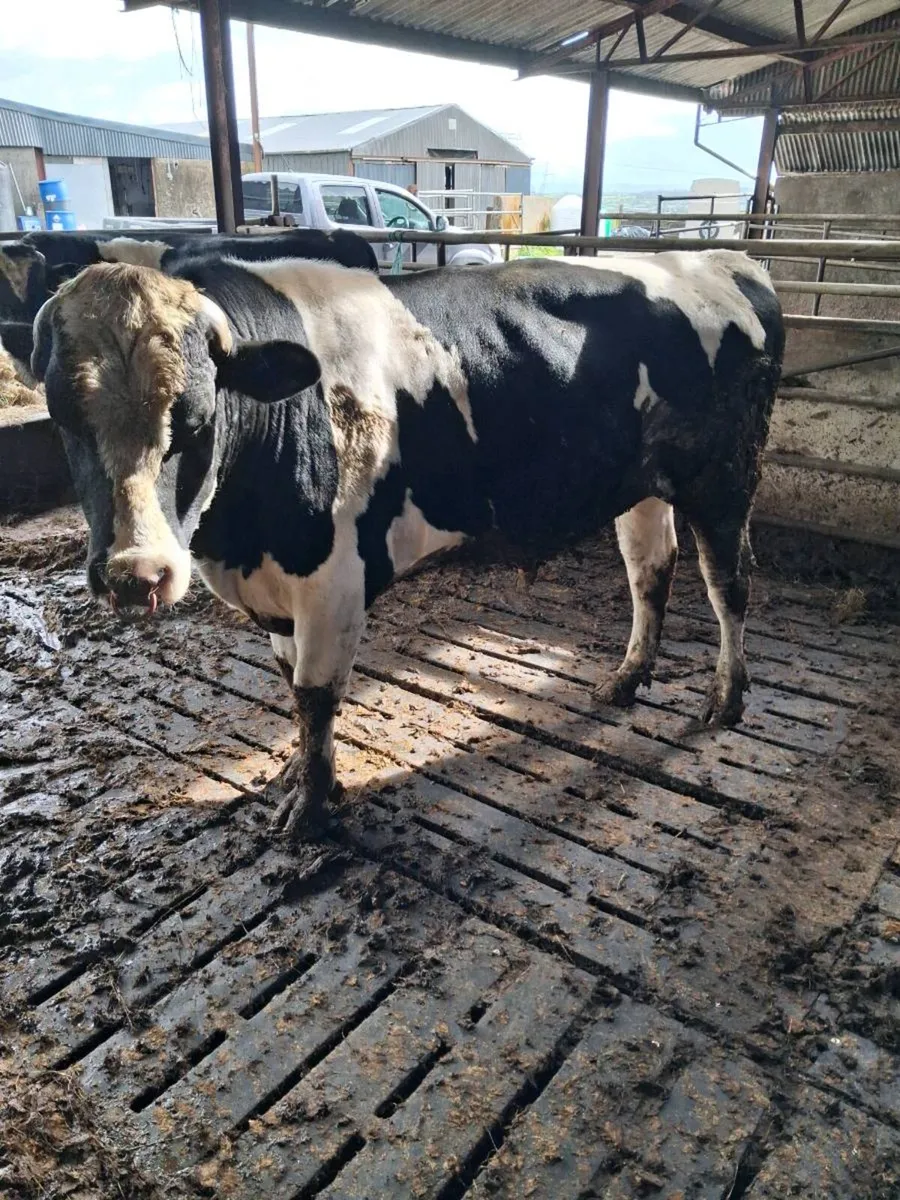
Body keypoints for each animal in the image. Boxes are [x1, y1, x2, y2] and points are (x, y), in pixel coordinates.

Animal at [32, 250, 784, 839]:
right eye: (63, 414)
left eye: (196, 417)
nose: (137, 575)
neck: (239, 543)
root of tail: (723, 259)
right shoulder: (280, 585)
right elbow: (290, 684)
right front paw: (296, 773)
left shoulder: (334, 580)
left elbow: (313, 695)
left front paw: (310, 808)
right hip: (643, 481)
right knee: (650, 570)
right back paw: (628, 677)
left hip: (724, 476)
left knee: (730, 583)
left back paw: (726, 697)